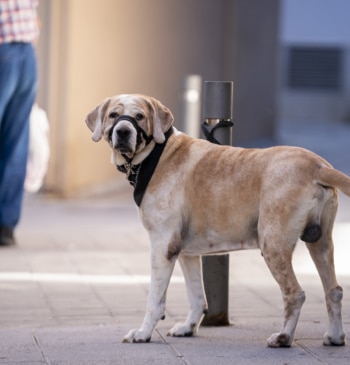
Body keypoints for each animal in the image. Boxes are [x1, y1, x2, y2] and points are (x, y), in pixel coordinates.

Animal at [85, 92, 350, 346]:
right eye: (113, 115)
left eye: (139, 116)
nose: (123, 131)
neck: (156, 156)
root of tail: (318, 166)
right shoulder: (185, 252)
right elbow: (196, 295)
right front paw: (188, 327)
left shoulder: (162, 246)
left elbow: (155, 300)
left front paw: (143, 333)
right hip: (321, 243)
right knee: (334, 290)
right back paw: (335, 336)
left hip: (273, 244)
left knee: (295, 293)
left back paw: (284, 337)